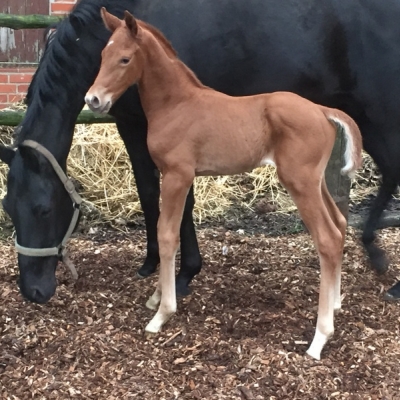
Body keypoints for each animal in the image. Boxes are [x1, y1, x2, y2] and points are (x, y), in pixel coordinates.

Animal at [0, 0, 400, 302]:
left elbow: (182, 202)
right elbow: (148, 193)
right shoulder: (132, 126)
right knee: (389, 173)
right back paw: (373, 251)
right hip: (364, 116)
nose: (33, 291)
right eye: (8, 207)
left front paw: (185, 273)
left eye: (43, 208)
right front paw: (151, 262)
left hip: (382, 112)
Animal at [86, 9, 364, 360]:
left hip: (299, 182)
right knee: (340, 225)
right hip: (315, 182)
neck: (177, 104)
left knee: (327, 239)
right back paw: (337, 304)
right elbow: (172, 230)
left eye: (125, 59)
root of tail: (321, 110)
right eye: (102, 55)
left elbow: (166, 235)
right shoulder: (178, 177)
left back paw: (320, 338)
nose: (93, 99)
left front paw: (162, 314)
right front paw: (157, 296)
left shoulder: (177, 175)